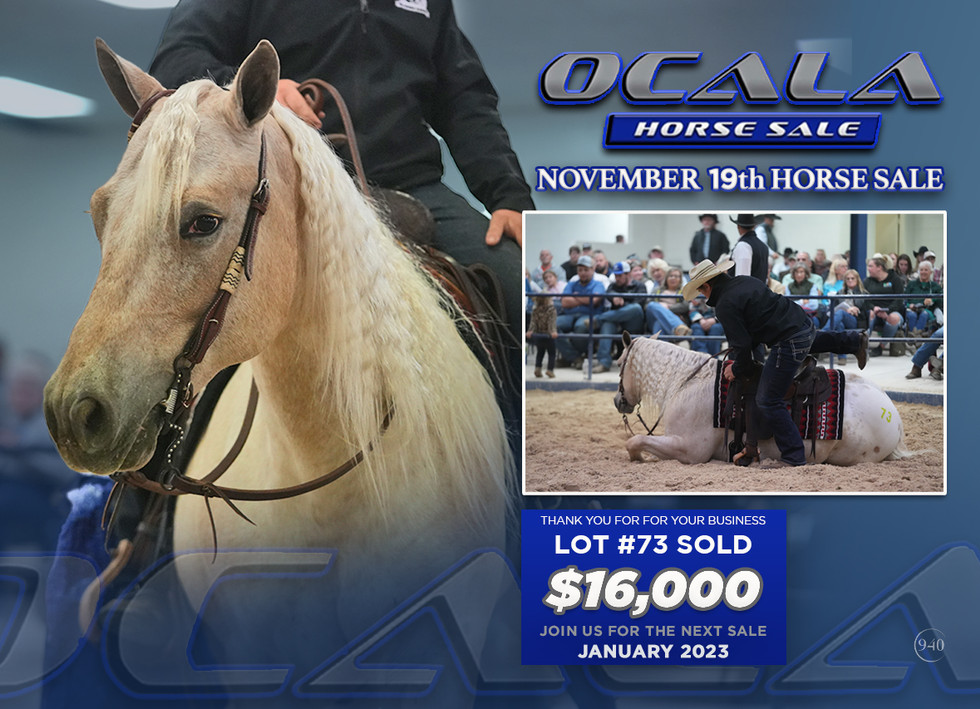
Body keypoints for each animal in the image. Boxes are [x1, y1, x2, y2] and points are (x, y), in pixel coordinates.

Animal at [613, 333, 909, 466]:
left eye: (619, 363)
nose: (618, 401)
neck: (688, 381)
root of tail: (892, 415)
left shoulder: (689, 449)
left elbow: (634, 440)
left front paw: (638, 457)